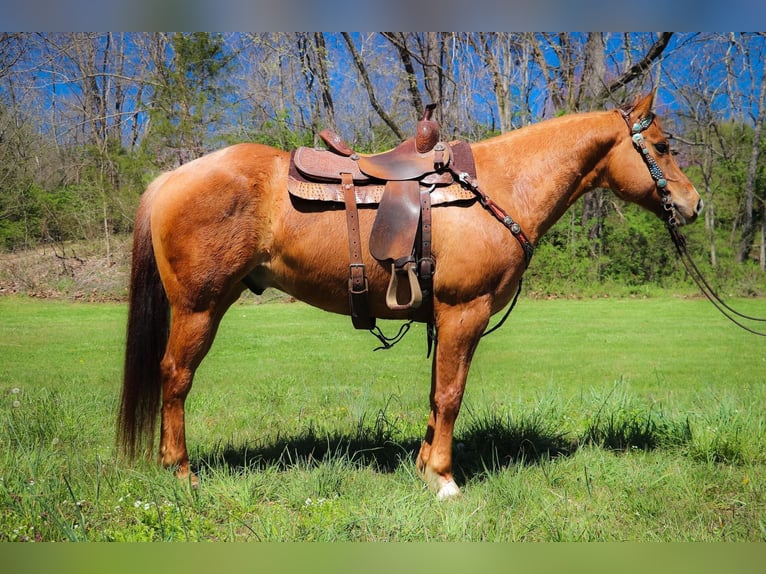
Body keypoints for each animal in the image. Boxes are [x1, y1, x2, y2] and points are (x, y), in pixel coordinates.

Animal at [118, 90, 704, 500]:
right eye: (662, 147)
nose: (694, 204)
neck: (498, 185)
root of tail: (172, 176)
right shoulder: (465, 311)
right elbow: (451, 396)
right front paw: (444, 480)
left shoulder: (444, 317)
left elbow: (435, 394)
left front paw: (424, 468)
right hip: (199, 307)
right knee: (176, 376)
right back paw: (181, 472)